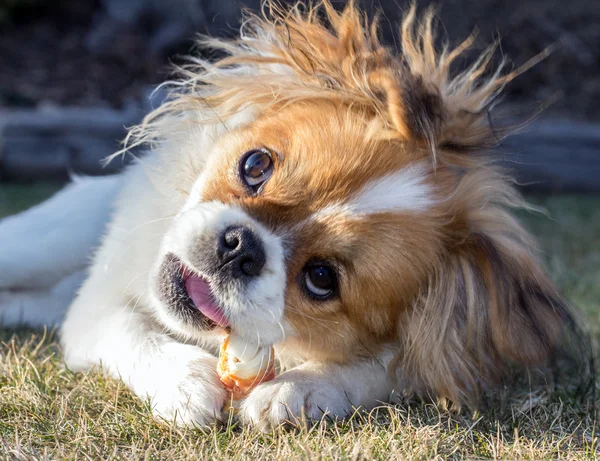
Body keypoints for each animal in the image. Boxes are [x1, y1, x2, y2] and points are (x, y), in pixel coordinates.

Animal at [0, 0, 588, 428]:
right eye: (255, 165)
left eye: (321, 279)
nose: (240, 246)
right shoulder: (94, 311)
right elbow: (131, 331)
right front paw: (186, 384)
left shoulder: (412, 360)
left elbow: (373, 369)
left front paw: (297, 390)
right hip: (40, 245)